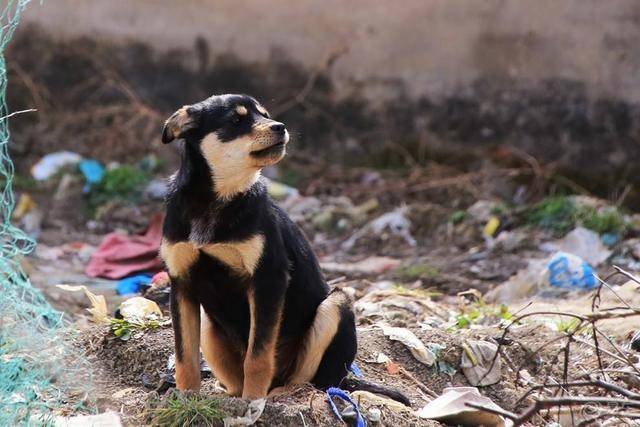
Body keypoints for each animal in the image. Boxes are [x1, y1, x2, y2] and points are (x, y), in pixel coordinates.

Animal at [162, 93, 408, 404]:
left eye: (265, 115)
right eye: (236, 120)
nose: (280, 127)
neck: (216, 199)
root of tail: (346, 378)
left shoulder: (269, 279)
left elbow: (257, 357)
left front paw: (253, 402)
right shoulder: (181, 282)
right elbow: (185, 357)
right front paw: (185, 399)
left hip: (336, 307)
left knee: (312, 382)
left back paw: (280, 394)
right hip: (209, 326)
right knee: (236, 379)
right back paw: (228, 395)